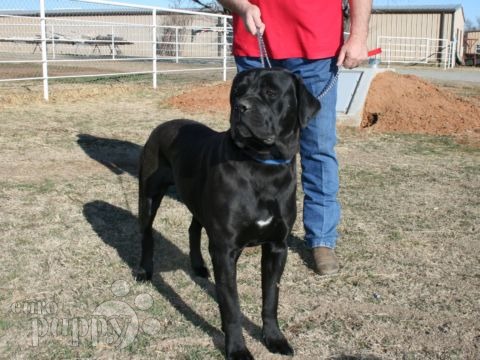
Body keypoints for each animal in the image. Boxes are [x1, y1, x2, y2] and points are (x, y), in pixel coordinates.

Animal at [137, 68, 320, 360]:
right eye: (237, 91)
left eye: (271, 92)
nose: (240, 107)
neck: (263, 166)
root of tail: (163, 125)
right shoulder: (225, 250)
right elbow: (231, 306)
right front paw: (237, 349)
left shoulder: (277, 247)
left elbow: (271, 297)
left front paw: (274, 338)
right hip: (149, 194)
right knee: (146, 233)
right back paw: (144, 271)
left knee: (194, 228)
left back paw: (198, 266)